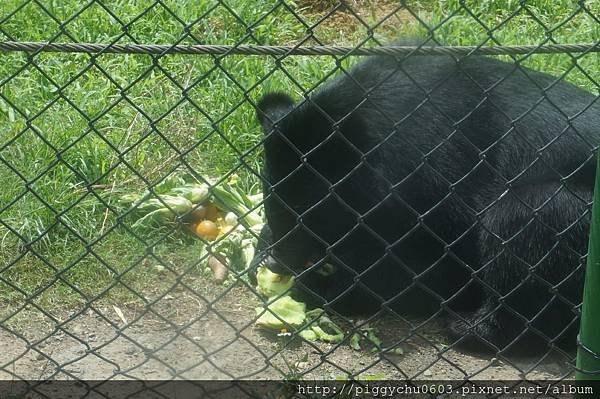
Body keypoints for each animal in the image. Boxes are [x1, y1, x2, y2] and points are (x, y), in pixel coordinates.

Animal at [254, 46, 600, 354]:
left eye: (307, 212)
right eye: (272, 202)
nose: (276, 262)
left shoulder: (446, 185)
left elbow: (434, 266)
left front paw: (321, 286)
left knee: (524, 218)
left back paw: (471, 330)